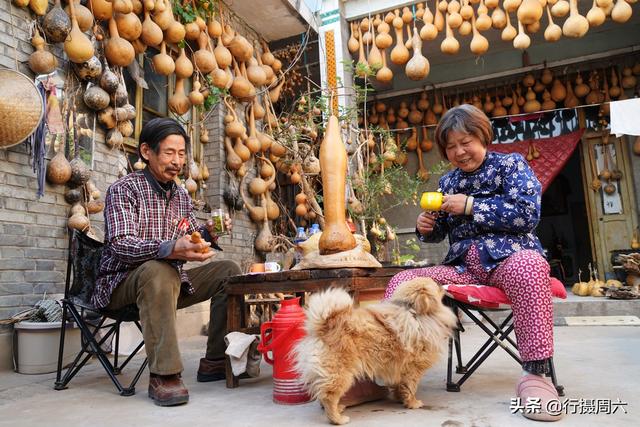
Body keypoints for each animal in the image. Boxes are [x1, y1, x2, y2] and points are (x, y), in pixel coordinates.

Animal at [292, 278, 458, 424]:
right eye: (435, 284)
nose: (443, 285)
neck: (413, 313)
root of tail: (323, 326)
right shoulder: (413, 369)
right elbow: (410, 387)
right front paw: (413, 403)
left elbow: (400, 386)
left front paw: (400, 398)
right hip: (340, 373)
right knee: (328, 397)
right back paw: (338, 419)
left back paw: (339, 409)